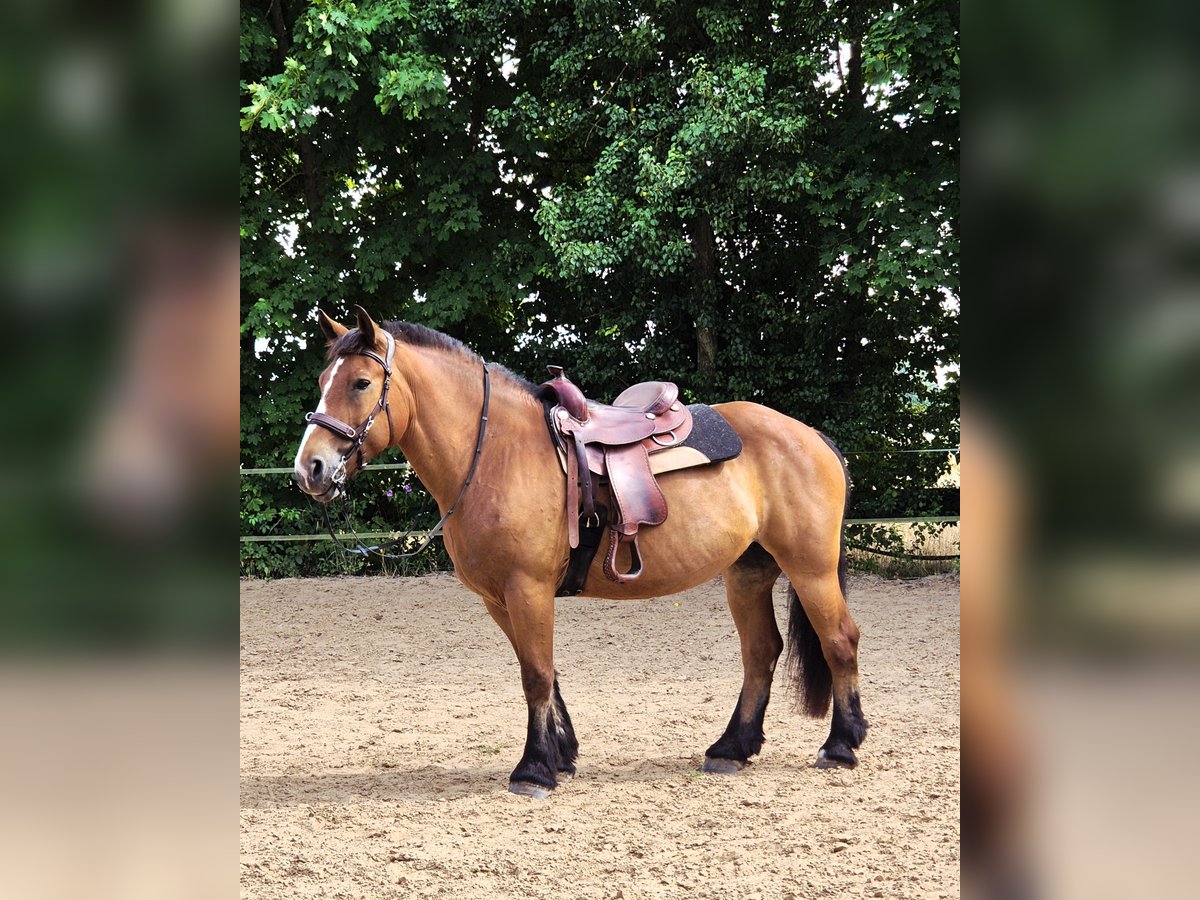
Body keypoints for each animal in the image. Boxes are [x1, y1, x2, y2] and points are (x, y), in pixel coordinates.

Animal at [293, 306, 867, 798]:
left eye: (361, 383)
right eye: (322, 382)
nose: (309, 470)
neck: (497, 452)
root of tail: (809, 435)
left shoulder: (526, 589)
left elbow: (536, 674)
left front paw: (534, 769)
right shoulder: (500, 599)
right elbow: (542, 670)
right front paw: (561, 754)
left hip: (810, 569)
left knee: (839, 640)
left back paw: (841, 746)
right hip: (747, 573)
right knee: (760, 652)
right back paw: (732, 748)